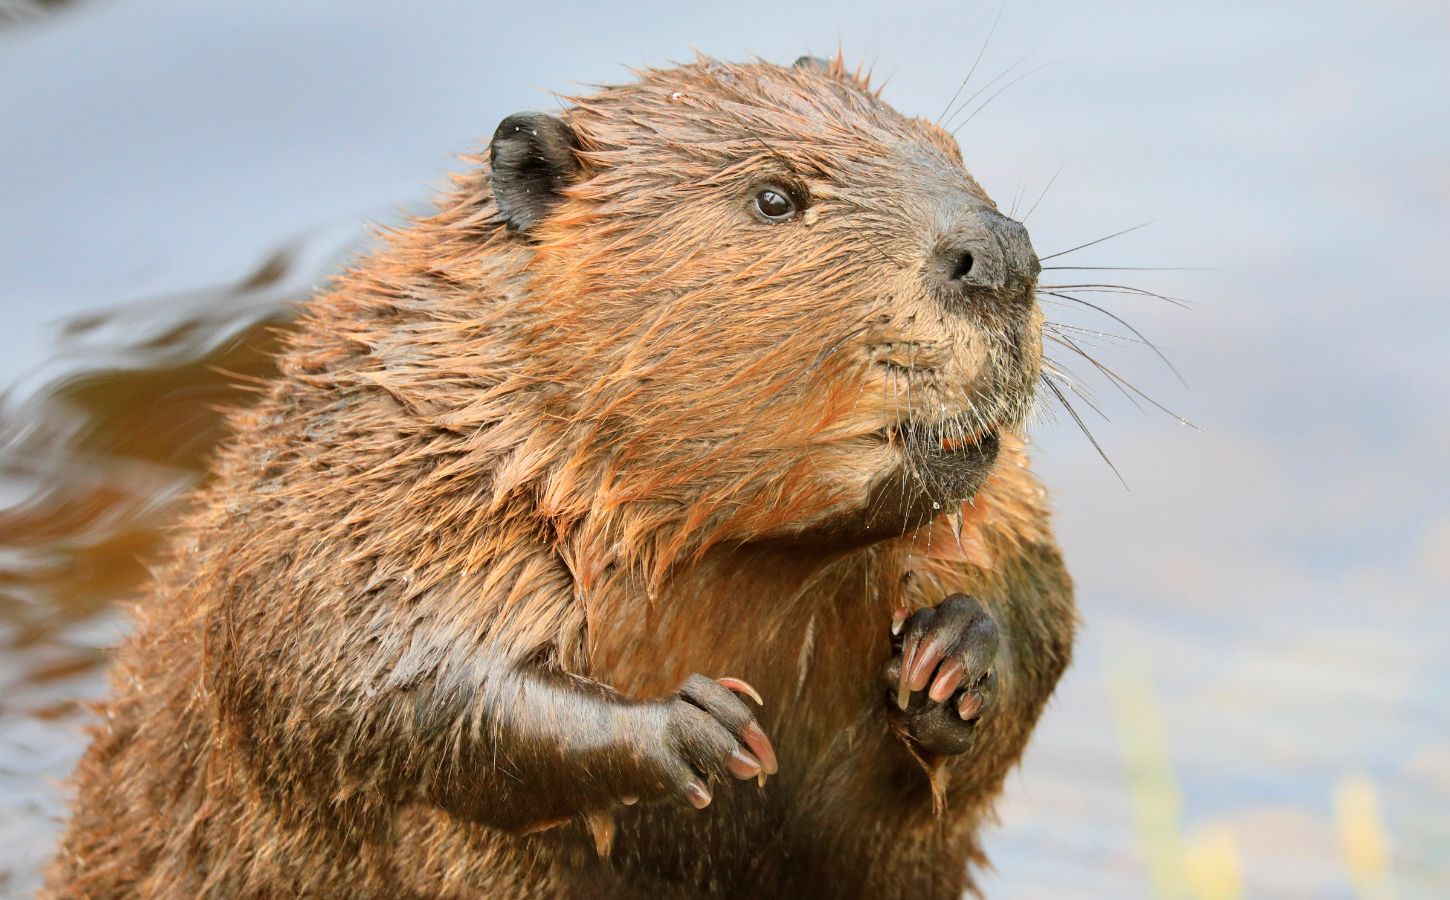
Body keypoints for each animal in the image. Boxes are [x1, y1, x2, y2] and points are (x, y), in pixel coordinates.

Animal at [45, 52, 1078, 892]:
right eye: (775, 197)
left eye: (947, 145)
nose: (1000, 254)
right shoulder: (381, 466)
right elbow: (356, 668)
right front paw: (703, 729)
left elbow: (1035, 592)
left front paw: (952, 659)